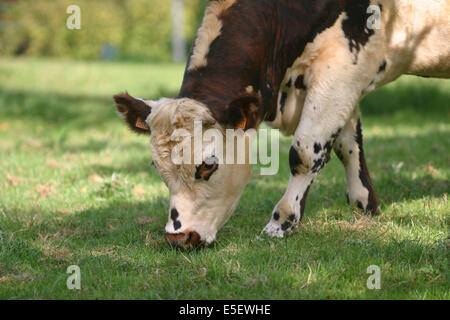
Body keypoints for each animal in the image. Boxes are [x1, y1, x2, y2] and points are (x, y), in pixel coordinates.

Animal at [114, 0, 450, 249]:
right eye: (157, 167)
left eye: (208, 166)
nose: (179, 237)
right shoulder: (343, 84)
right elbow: (347, 143)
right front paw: (364, 204)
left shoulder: (343, 68)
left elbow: (305, 153)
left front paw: (281, 222)